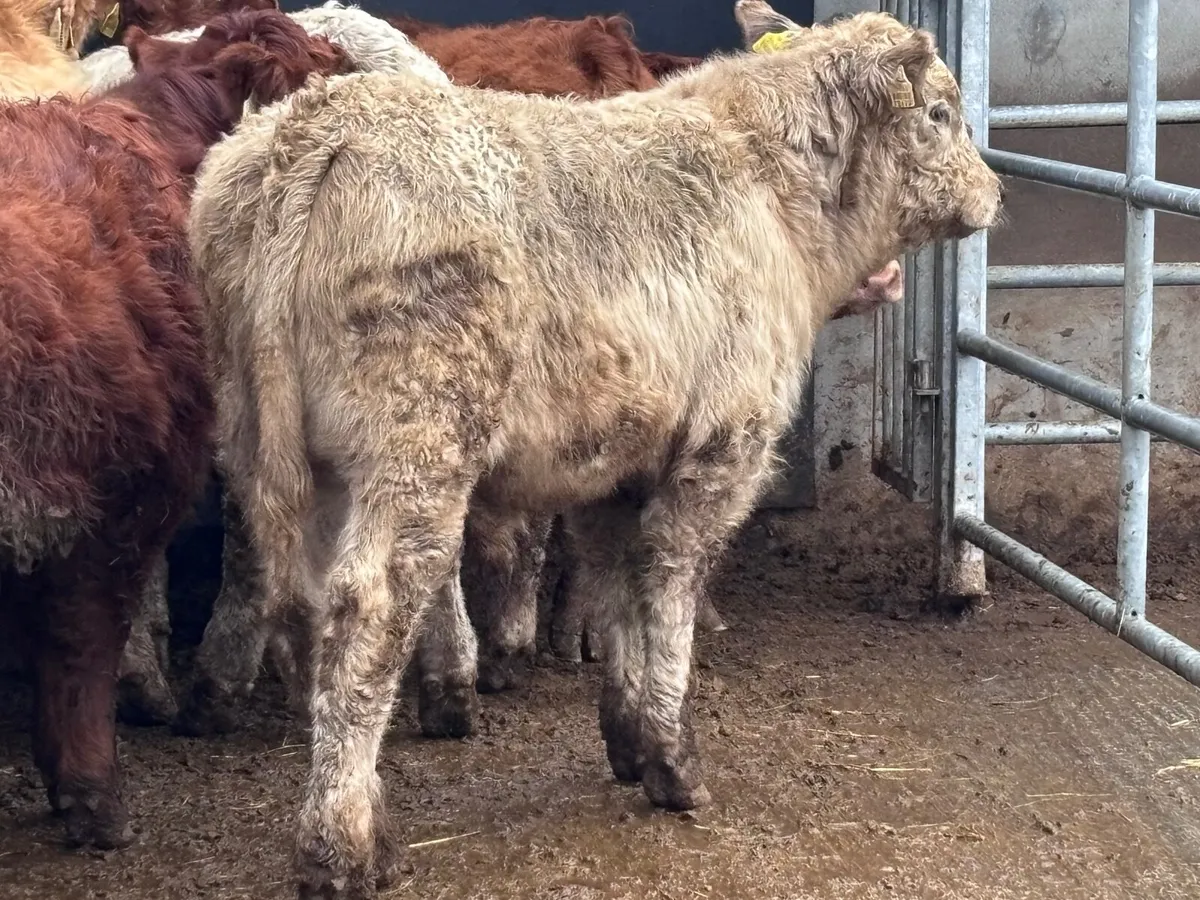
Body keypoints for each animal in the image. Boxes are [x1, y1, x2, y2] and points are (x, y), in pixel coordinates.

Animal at [189, 1, 1001, 893]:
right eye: (941, 114)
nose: (995, 193)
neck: (770, 192)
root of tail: (319, 125)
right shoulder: (724, 444)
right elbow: (670, 587)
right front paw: (675, 763)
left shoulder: (616, 462)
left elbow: (615, 590)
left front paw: (629, 739)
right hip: (415, 446)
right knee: (368, 614)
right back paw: (339, 852)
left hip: (273, 449)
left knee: (303, 607)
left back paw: (365, 821)